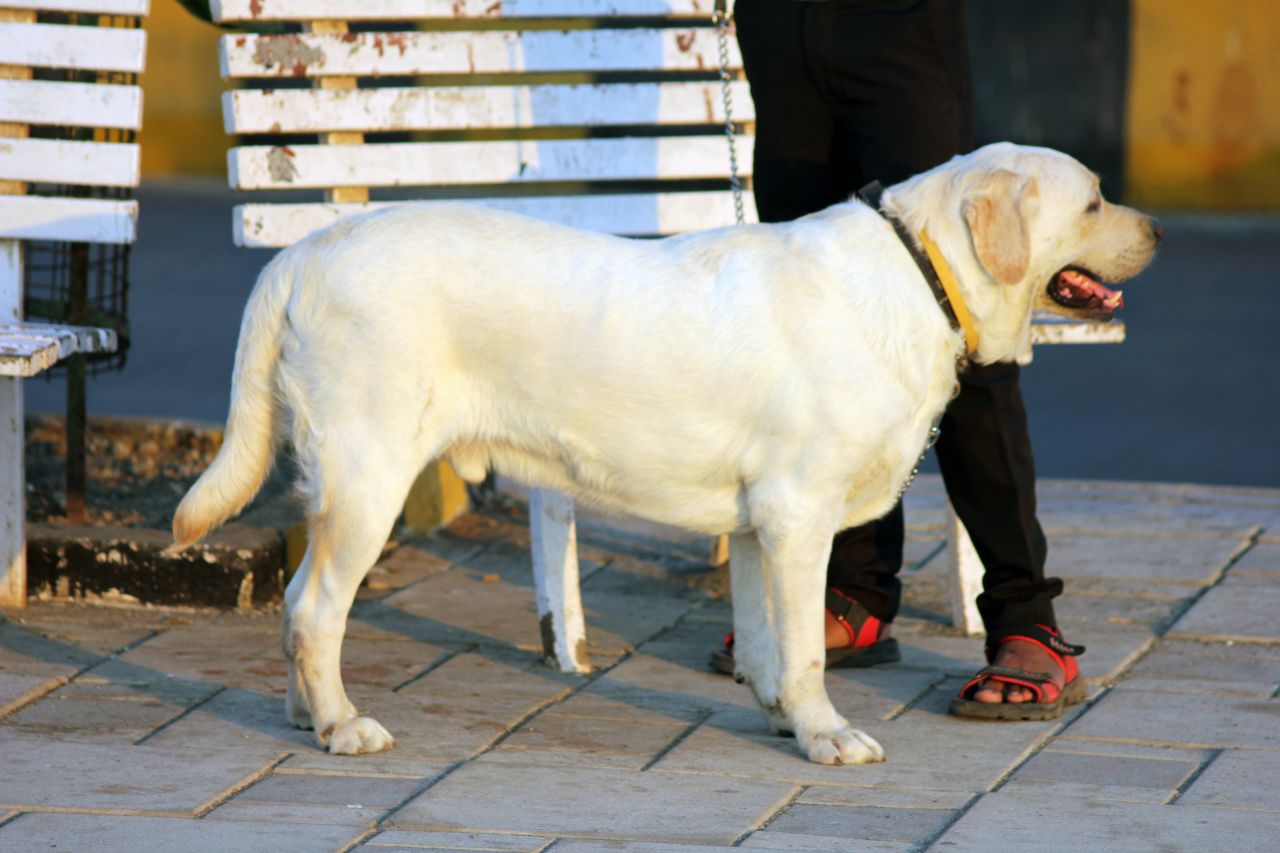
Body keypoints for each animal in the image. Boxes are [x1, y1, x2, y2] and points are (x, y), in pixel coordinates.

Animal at [170, 142, 1162, 758]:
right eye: (1094, 199)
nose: (1155, 229)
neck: (924, 272)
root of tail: (305, 249)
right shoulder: (800, 512)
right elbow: (804, 648)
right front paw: (826, 734)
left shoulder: (761, 524)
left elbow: (767, 639)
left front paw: (781, 718)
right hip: (370, 474)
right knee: (314, 607)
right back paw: (342, 723)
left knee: (300, 605)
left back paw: (304, 712)